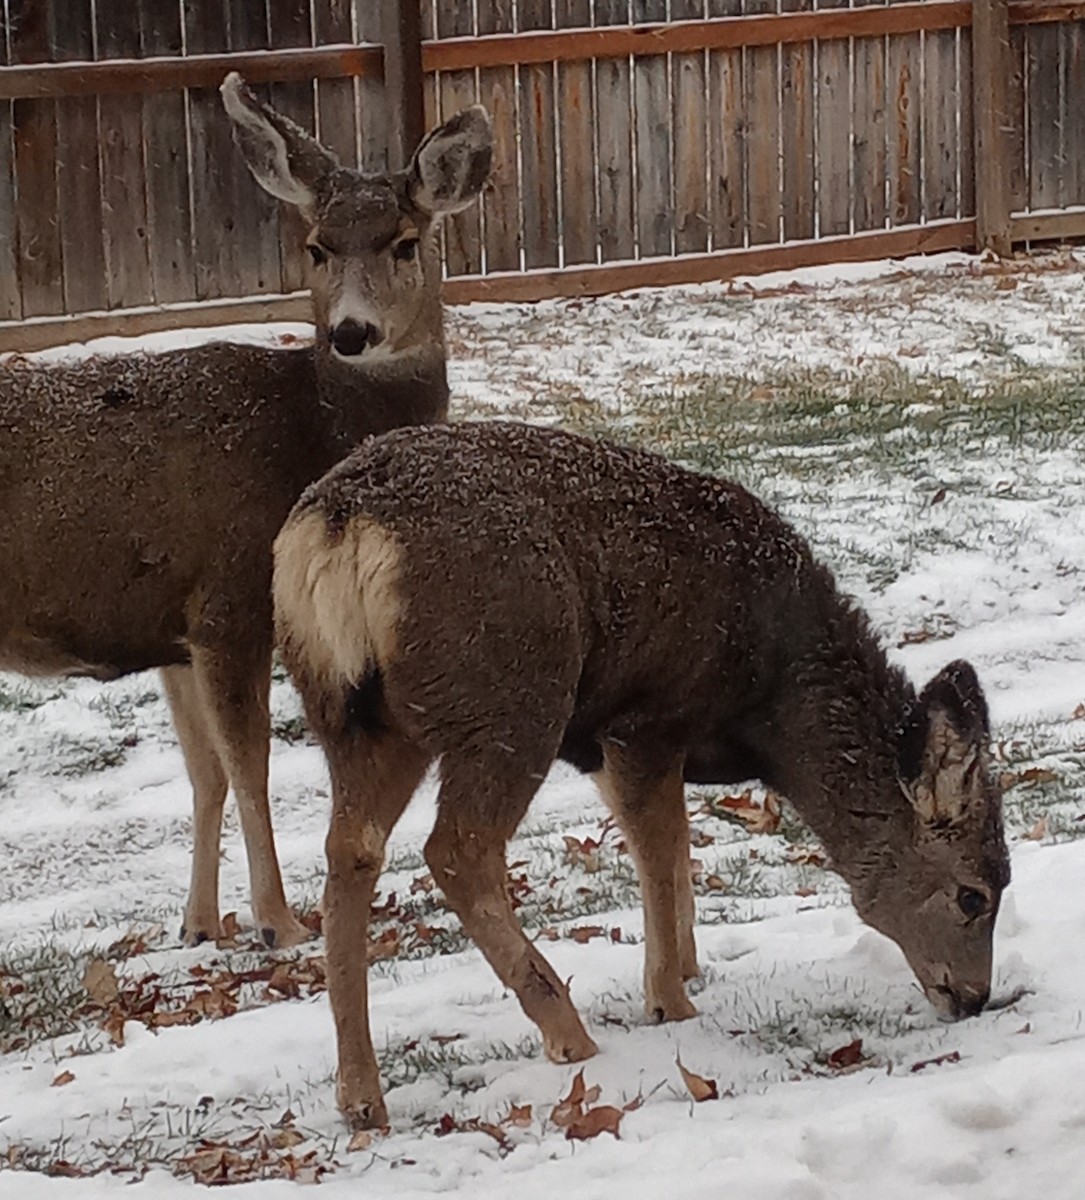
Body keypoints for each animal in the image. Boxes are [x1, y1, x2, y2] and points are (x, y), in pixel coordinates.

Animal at [0, 74, 491, 950]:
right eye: (317, 246)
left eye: (405, 242)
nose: (352, 331)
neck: (310, 431)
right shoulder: (230, 597)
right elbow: (250, 764)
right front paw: (279, 920)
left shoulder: (171, 625)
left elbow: (205, 772)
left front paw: (200, 923)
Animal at [272, 420, 1010, 1130]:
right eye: (973, 894)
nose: (974, 996)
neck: (771, 696)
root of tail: (339, 524)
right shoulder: (645, 719)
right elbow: (658, 855)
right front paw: (668, 998)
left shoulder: (612, 744)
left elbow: (673, 845)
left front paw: (689, 964)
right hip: (514, 695)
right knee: (457, 849)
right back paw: (565, 1030)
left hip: (355, 719)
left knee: (352, 851)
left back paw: (361, 1096)